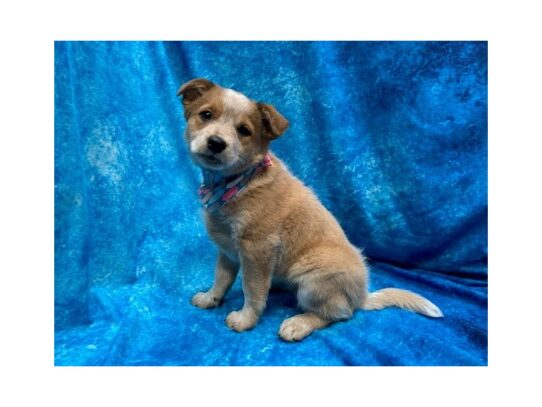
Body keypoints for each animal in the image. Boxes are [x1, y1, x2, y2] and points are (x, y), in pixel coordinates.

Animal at [177, 78, 442, 342]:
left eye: (243, 130)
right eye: (206, 114)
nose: (216, 143)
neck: (237, 183)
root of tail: (362, 296)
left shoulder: (257, 249)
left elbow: (252, 289)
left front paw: (245, 319)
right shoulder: (227, 249)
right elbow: (222, 277)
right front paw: (210, 298)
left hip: (311, 279)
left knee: (339, 313)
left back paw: (298, 324)